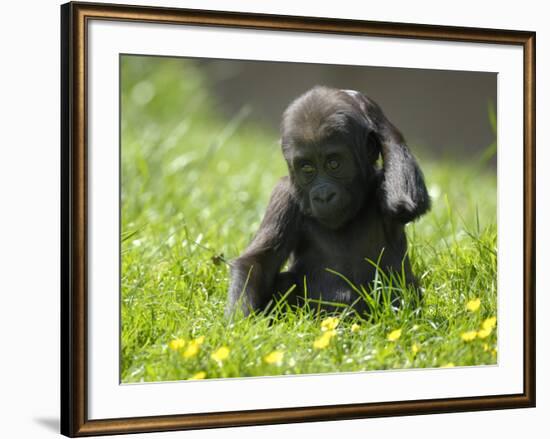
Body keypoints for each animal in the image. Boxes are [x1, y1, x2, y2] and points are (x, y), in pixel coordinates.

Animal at [225, 86, 432, 316]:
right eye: (307, 168)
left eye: (334, 164)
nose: (323, 195)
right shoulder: (284, 194)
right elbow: (257, 263)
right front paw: (240, 321)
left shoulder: (383, 185)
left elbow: (405, 203)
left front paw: (367, 106)